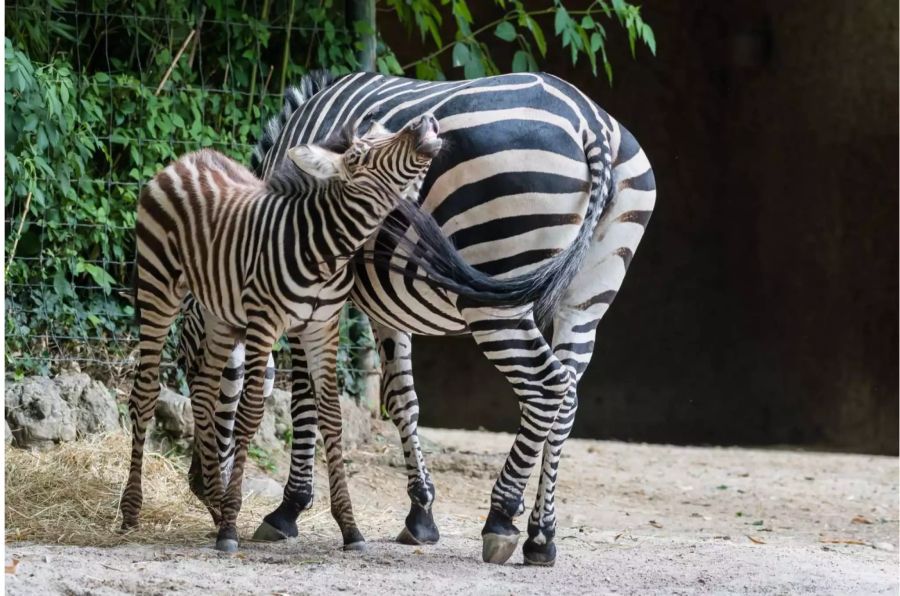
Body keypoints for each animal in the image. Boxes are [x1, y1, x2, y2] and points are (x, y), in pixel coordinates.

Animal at [186, 70, 656, 564]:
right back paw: (542, 536)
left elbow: (306, 399)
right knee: (566, 399)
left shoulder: (306, 295)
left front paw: (288, 510)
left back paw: (501, 517)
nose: (196, 487)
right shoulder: (388, 307)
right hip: (585, 300)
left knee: (547, 388)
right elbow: (401, 400)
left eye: (193, 366)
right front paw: (421, 514)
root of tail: (590, 122)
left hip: (495, 294)